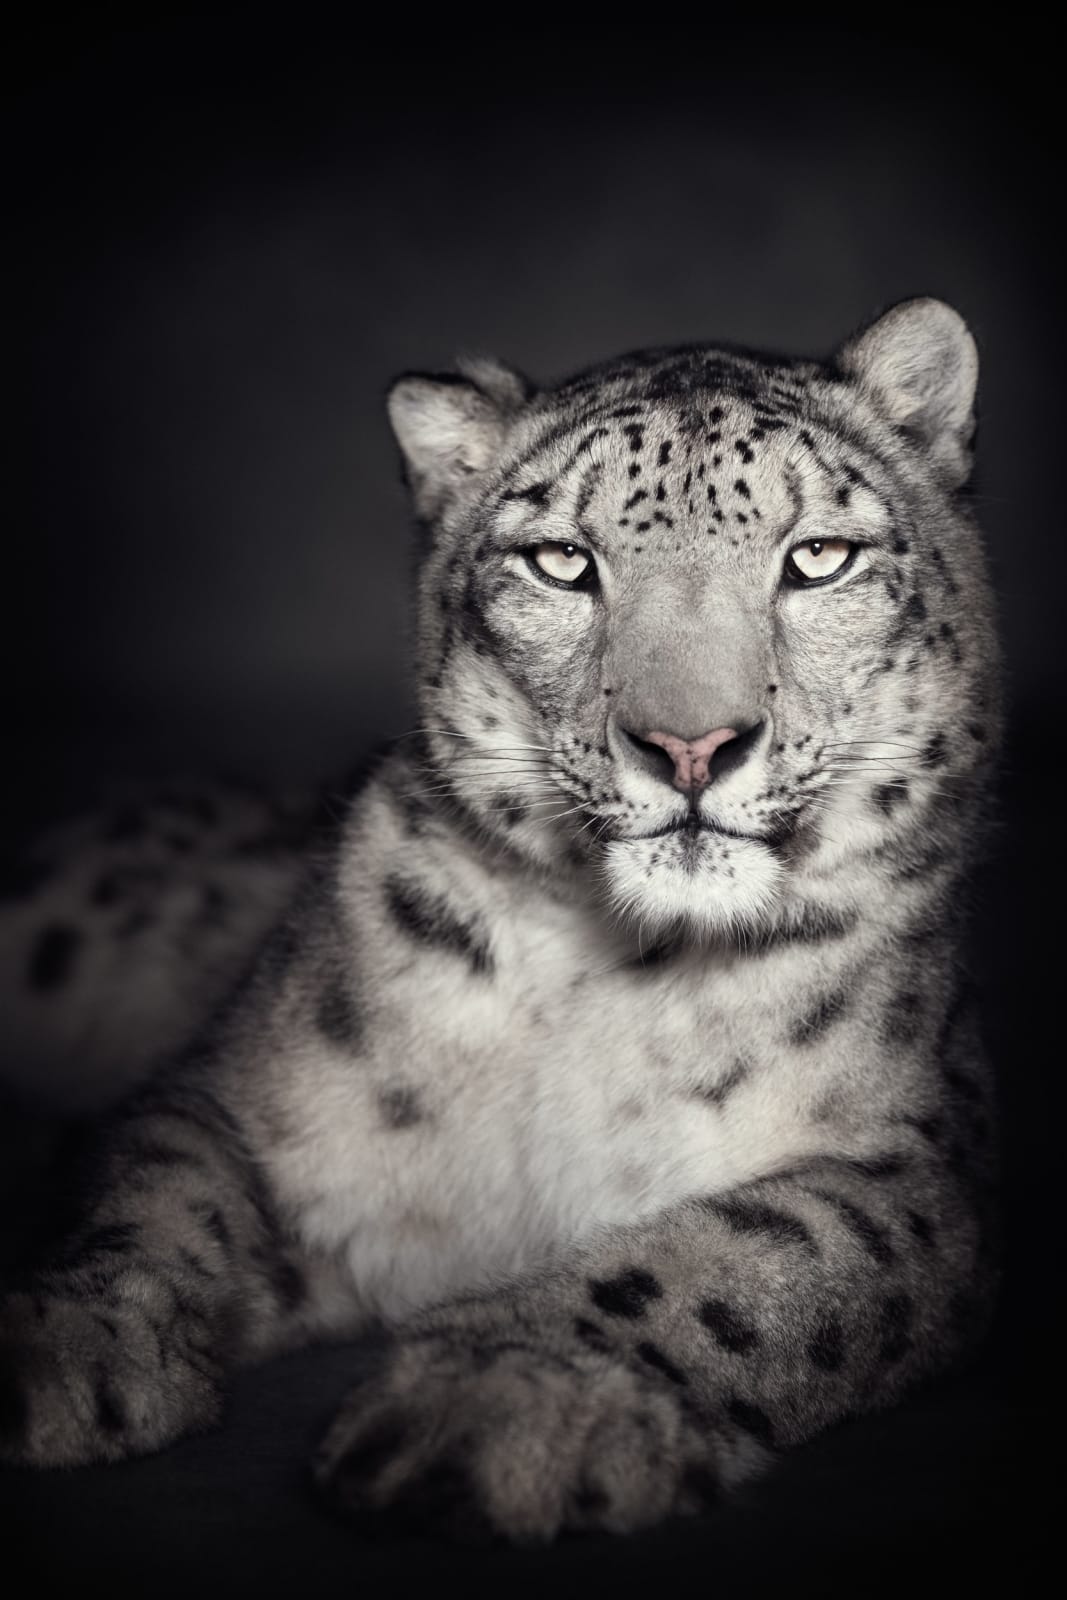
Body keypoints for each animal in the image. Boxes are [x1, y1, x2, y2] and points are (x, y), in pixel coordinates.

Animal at [0, 297, 1000, 1543]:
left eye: (817, 556)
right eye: (560, 561)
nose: (688, 745)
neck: (604, 972)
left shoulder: (917, 1168)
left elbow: (741, 1256)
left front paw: (494, 1395)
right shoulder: (229, 1088)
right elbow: (155, 1188)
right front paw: (61, 1350)